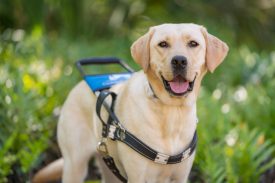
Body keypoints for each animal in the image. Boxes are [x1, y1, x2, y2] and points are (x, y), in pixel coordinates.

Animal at [33, 23, 230, 183]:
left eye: (193, 44)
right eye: (163, 44)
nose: (179, 60)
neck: (172, 111)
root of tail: (78, 86)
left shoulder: (180, 177)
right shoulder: (138, 176)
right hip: (75, 165)